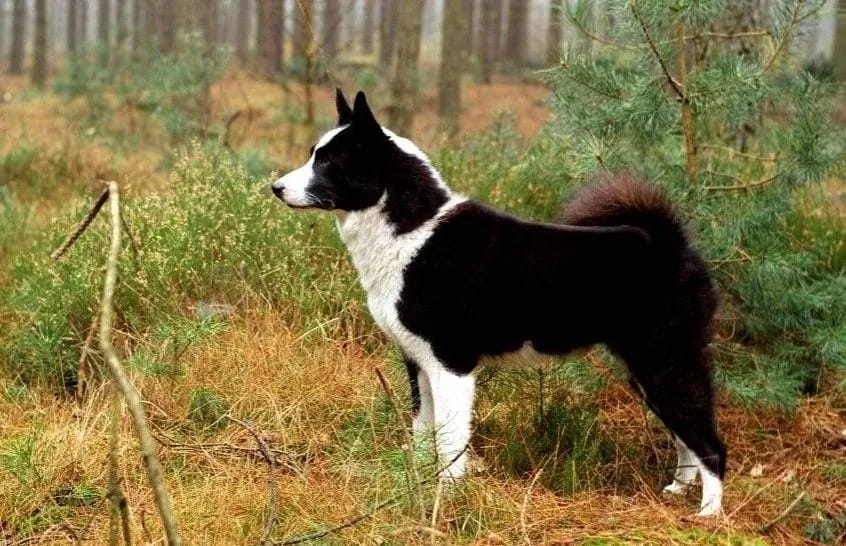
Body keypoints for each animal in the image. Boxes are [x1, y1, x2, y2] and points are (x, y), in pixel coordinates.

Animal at [272, 89, 728, 516]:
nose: (275, 187)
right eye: (313, 154)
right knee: (685, 437)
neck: (414, 230)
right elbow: (423, 434)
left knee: (710, 444)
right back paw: (679, 489)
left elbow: (450, 440)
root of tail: (672, 244)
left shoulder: (451, 365)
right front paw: (417, 484)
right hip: (647, 372)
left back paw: (708, 514)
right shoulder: (417, 363)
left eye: (329, 162)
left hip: (665, 365)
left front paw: (447, 498)